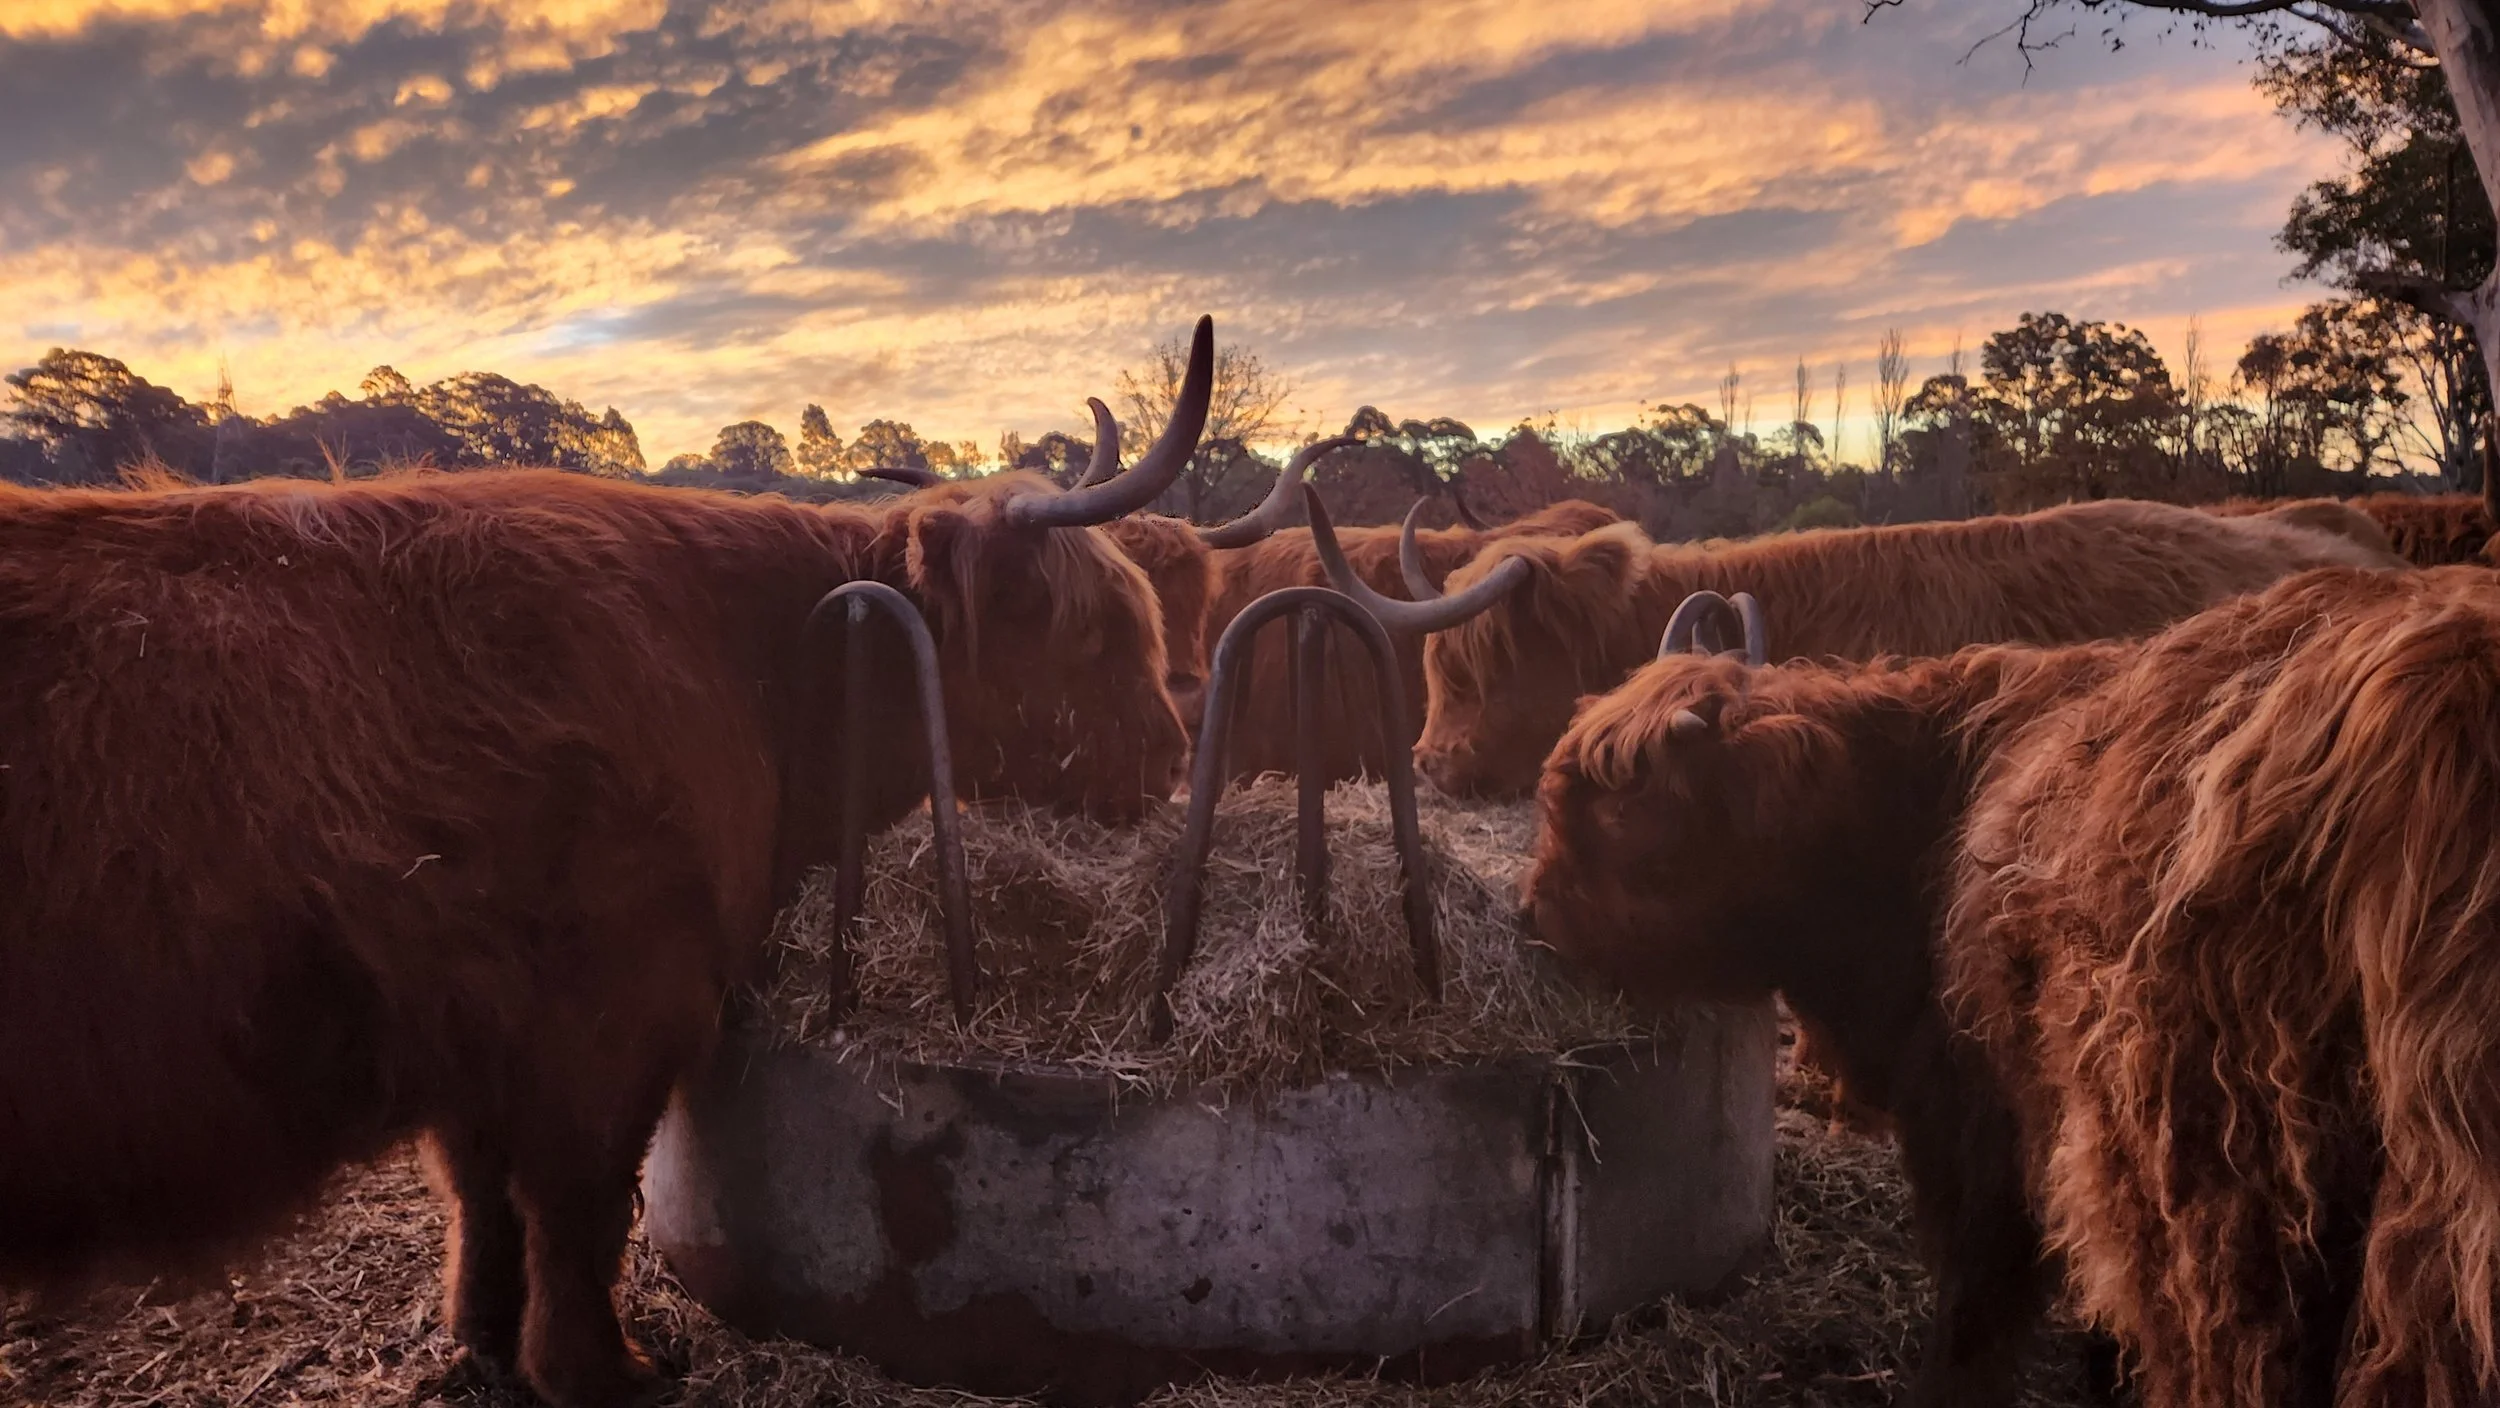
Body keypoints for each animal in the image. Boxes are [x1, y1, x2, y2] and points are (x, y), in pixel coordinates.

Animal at [0, 321, 1215, 1408]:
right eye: (1095, 632)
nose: (1171, 756)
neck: (753, 670)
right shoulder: (615, 1002)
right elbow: (580, 1197)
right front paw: (601, 1372)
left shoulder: (479, 1021)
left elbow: (485, 1194)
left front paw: (485, 1341)